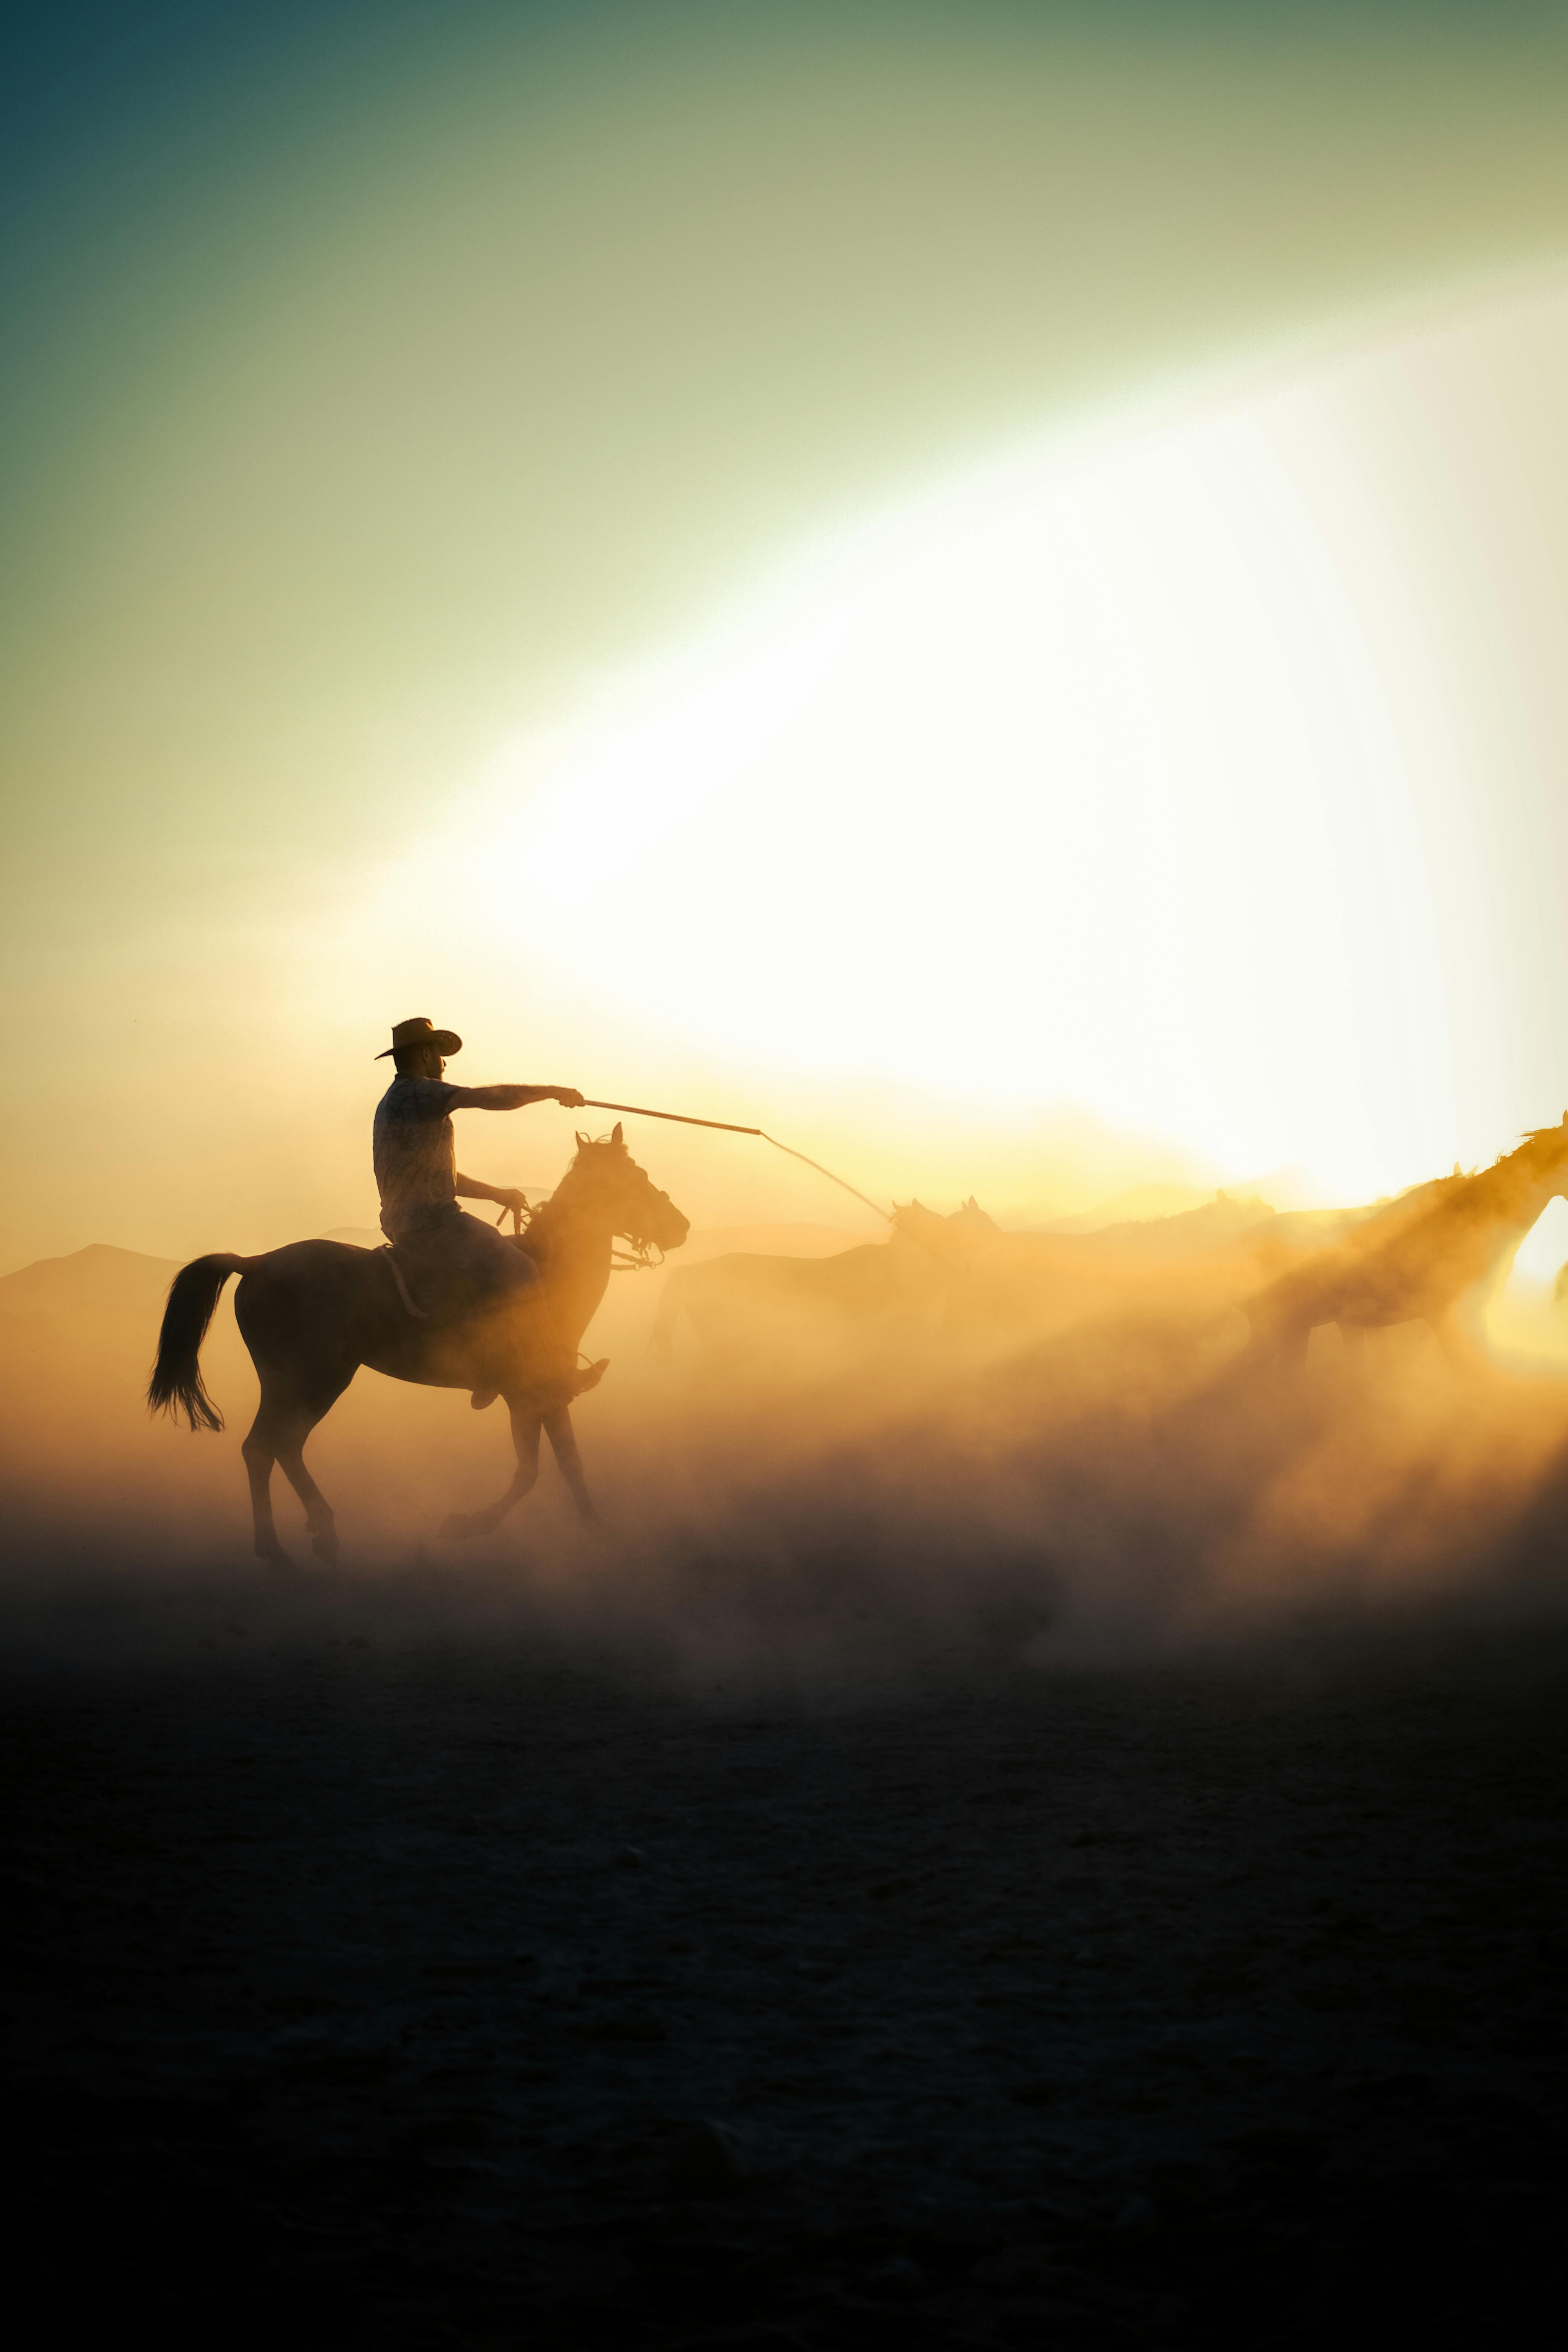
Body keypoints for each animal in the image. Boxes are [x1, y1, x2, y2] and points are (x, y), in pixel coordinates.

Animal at [150, 1124, 691, 1562]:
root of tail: (256, 1263)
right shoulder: (529, 1395)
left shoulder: (543, 1396)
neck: (548, 1268)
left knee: (278, 1448)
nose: (681, 1227)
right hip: (312, 1382)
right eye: (634, 1176)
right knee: (267, 1447)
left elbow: (567, 1465)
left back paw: (311, 1535)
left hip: (299, 1385)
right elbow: (534, 1471)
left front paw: (597, 1529)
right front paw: (468, 1525)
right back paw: (284, 1547)